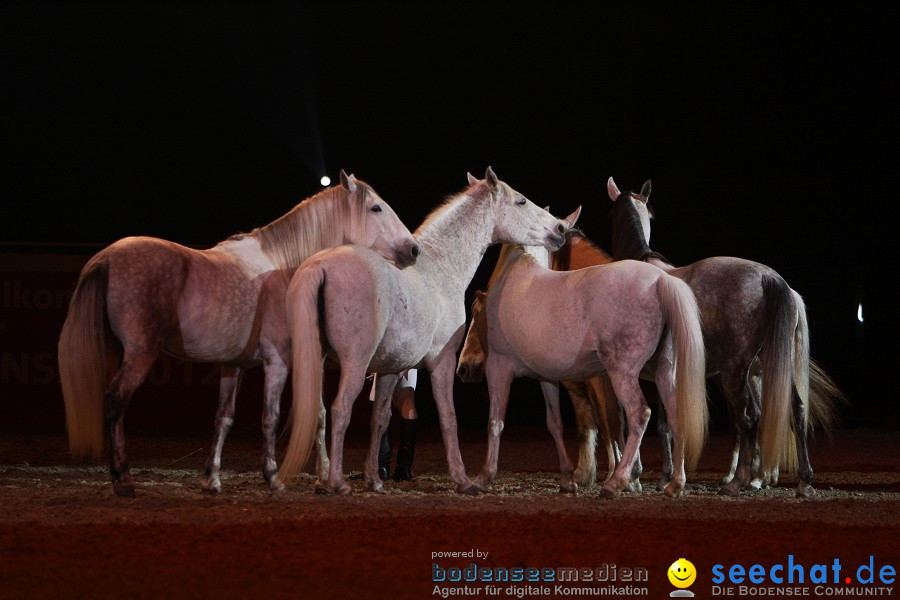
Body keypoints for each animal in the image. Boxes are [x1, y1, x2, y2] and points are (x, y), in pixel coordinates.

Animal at [59, 170, 418, 496]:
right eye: (375, 208)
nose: (413, 249)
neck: (284, 266)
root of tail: (106, 258)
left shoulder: (234, 365)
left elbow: (224, 418)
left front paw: (212, 480)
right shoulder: (277, 362)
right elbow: (270, 417)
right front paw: (273, 478)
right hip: (139, 354)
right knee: (116, 400)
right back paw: (123, 478)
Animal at [274, 166, 568, 494]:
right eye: (521, 201)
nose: (560, 229)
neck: (439, 267)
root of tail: (321, 266)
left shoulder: (390, 368)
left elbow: (380, 419)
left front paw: (374, 480)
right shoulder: (443, 362)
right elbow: (448, 418)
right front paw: (463, 480)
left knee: (319, 413)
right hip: (353, 365)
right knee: (339, 410)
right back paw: (336, 482)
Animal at [458, 216, 712, 496]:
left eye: (475, 315)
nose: (464, 368)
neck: (516, 275)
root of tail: (659, 281)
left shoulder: (499, 368)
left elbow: (495, 421)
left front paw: (483, 478)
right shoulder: (547, 378)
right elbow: (555, 423)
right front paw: (568, 479)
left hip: (622, 373)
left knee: (639, 414)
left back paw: (616, 482)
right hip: (664, 372)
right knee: (677, 417)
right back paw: (675, 483)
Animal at [604, 177, 844, 496]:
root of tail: (771, 279)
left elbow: (653, 424)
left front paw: (645, 477)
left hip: (735, 373)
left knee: (750, 417)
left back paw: (739, 480)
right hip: (769, 369)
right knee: (795, 410)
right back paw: (801, 481)